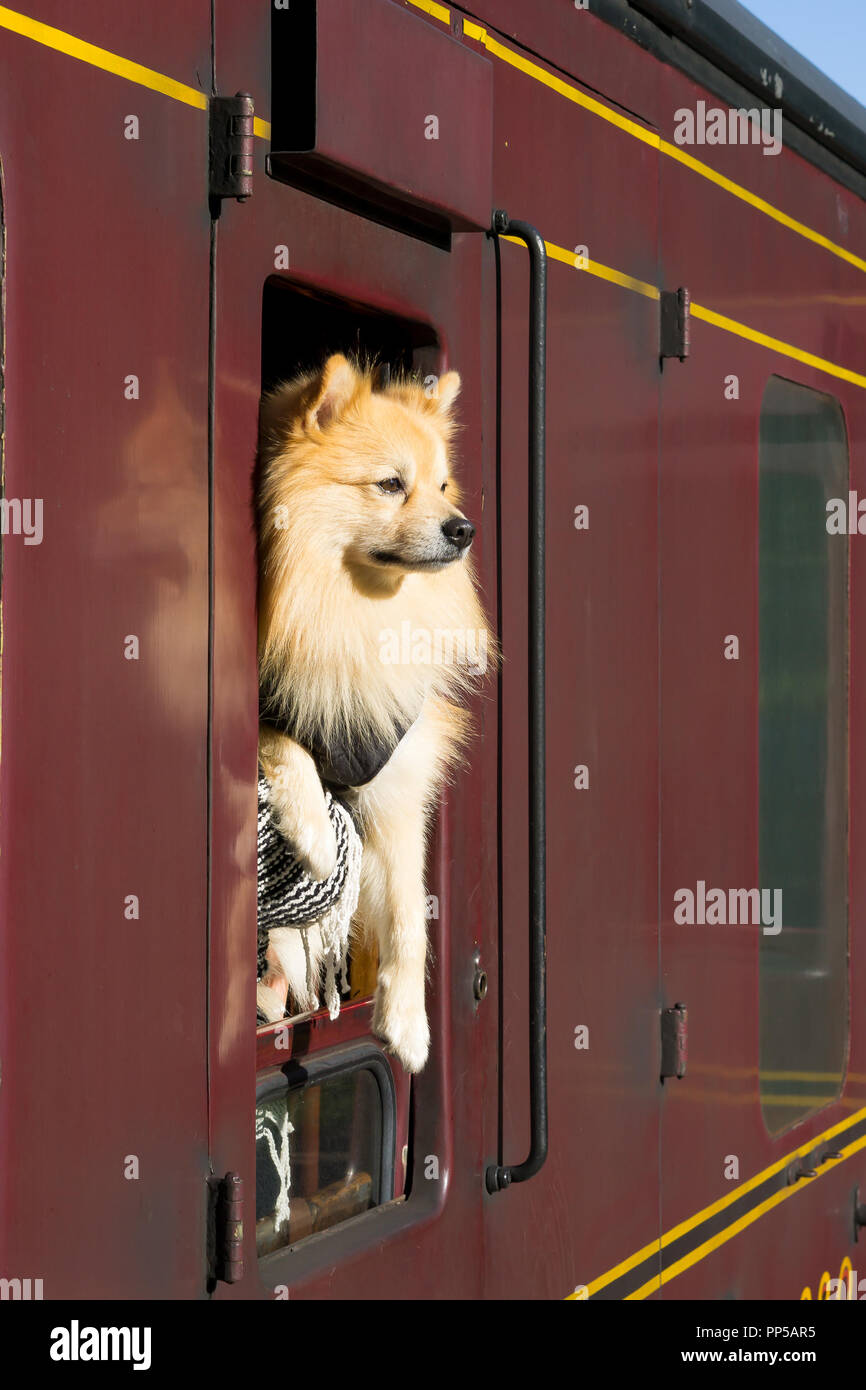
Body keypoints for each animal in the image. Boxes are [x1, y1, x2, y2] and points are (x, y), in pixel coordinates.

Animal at [254, 353, 492, 1067]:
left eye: (443, 486)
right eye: (390, 485)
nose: (463, 528)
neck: (350, 609)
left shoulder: (394, 776)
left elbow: (411, 910)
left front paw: (408, 1017)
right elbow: (283, 739)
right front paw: (310, 828)